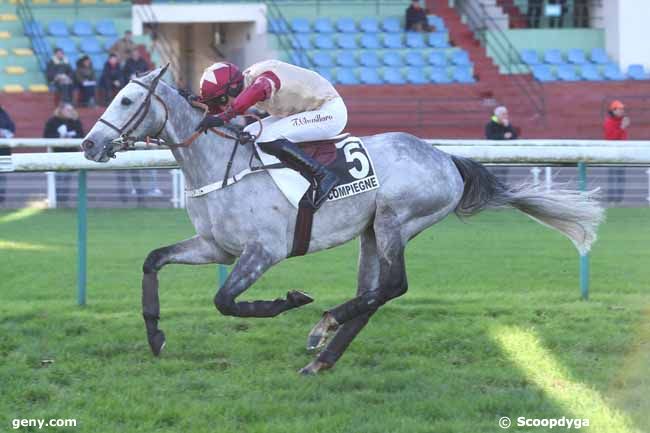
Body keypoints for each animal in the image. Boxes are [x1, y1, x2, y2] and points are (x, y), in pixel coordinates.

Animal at [81, 68, 604, 374]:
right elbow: (154, 260)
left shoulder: (263, 251)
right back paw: (326, 354)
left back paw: (324, 324)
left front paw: (290, 300)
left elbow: (226, 301)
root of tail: (446, 158)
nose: (89, 144)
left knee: (393, 286)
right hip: (371, 233)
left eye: (126, 101)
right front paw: (155, 336)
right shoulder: (215, 246)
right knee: (375, 293)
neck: (217, 165)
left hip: (396, 221)